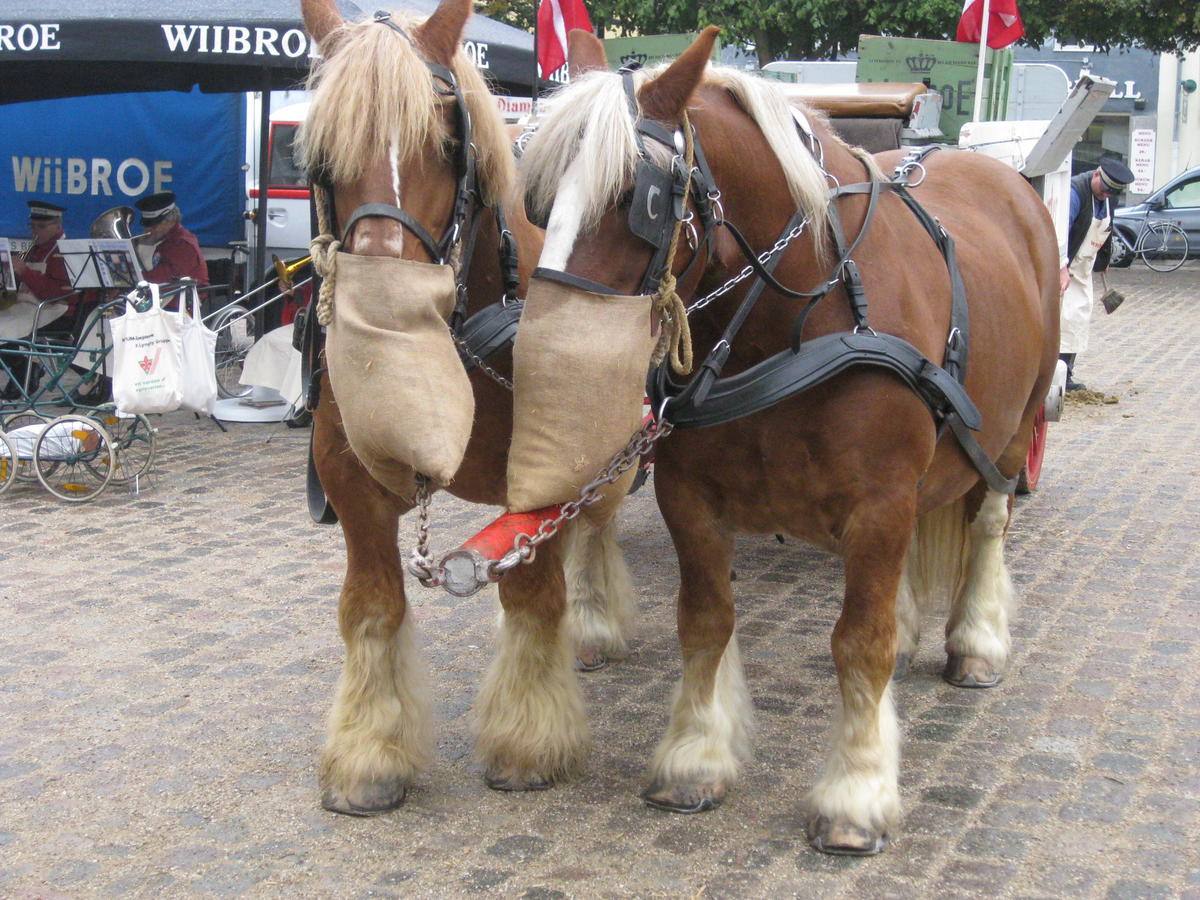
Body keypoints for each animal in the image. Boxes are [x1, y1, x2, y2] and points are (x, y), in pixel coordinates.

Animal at [298, 0, 635, 816]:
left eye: (449, 145)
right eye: (320, 157)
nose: (381, 326)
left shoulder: (540, 463)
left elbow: (534, 594)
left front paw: (529, 740)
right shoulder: (349, 478)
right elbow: (371, 604)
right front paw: (369, 753)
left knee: (597, 520)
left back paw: (594, 621)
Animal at [506, 28, 1060, 854]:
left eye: (641, 199)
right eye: (535, 197)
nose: (547, 355)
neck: (795, 321)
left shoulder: (881, 503)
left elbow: (860, 641)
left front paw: (856, 792)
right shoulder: (691, 499)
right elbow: (705, 621)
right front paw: (696, 756)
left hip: (1012, 426)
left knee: (989, 520)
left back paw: (976, 643)